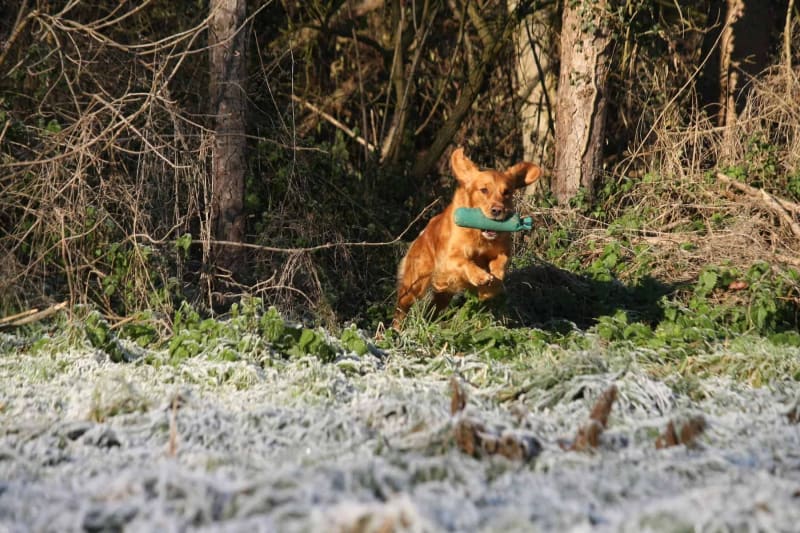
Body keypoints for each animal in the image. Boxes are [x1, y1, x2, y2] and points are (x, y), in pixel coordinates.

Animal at [393, 147, 542, 328]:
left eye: (507, 192)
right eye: (484, 190)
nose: (497, 210)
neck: (480, 235)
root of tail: (421, 235)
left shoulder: (502, 251)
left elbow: (500, 263)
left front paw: (491, 286)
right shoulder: (449, 258)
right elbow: (464, 261)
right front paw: (480, 276)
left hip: (443, 295)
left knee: (432, 309)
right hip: (414, 285)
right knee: (401, 308)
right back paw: (394, 331)